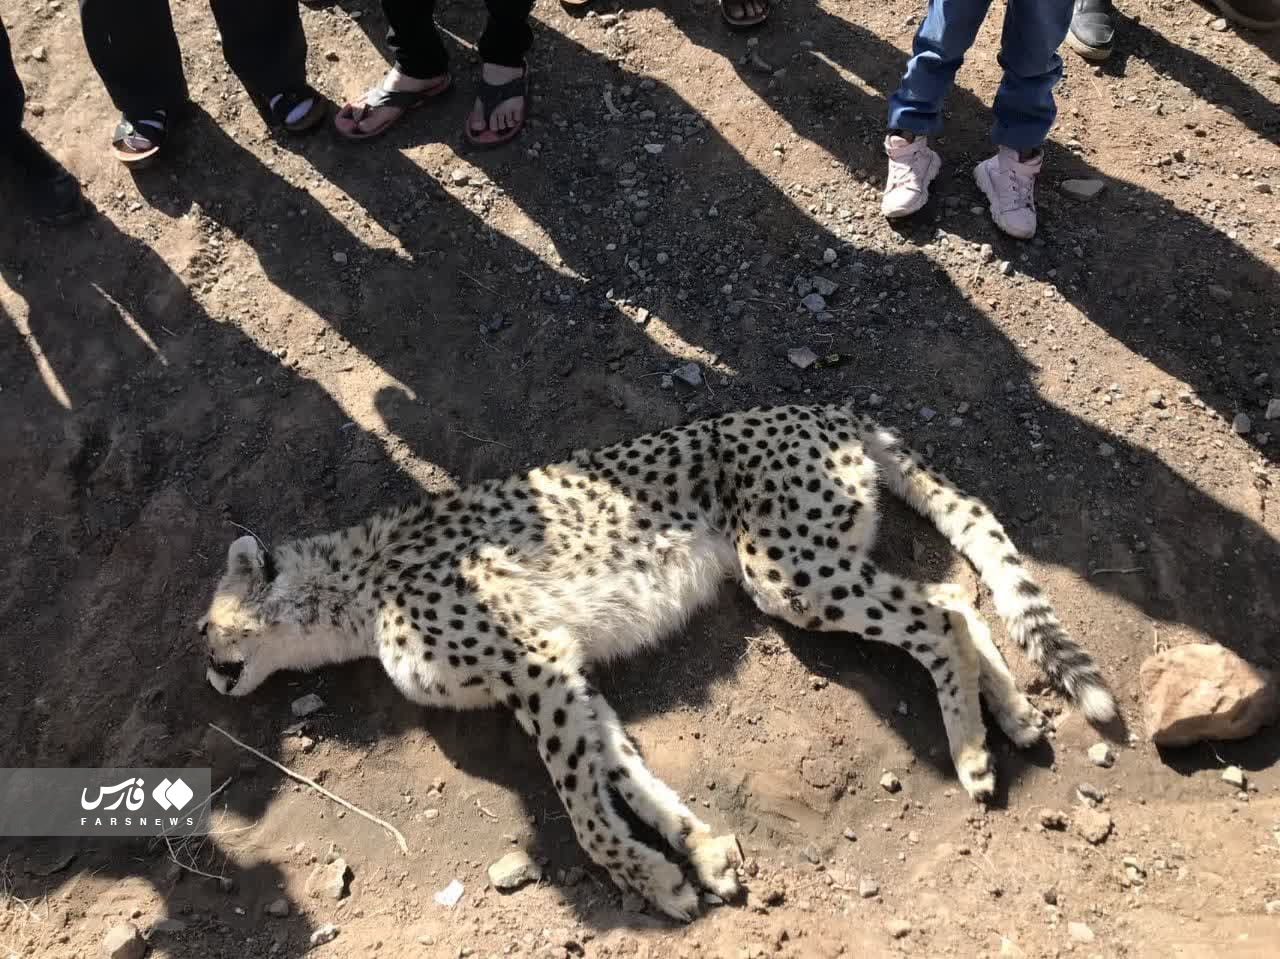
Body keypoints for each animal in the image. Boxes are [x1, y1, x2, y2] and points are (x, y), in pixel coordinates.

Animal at [199, 403, 1115, 920]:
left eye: (210, 628)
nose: (208, 672)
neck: (356, 586)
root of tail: (819, 405)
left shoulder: (535, 664)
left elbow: (584, 806)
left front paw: (652, 879)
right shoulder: (562, 673)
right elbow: (621, 766)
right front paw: (698, 852)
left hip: (787, 571)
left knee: (935, 617)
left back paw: (970, 752)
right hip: (819, 559)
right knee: (957, 597)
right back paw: (1014, 714)